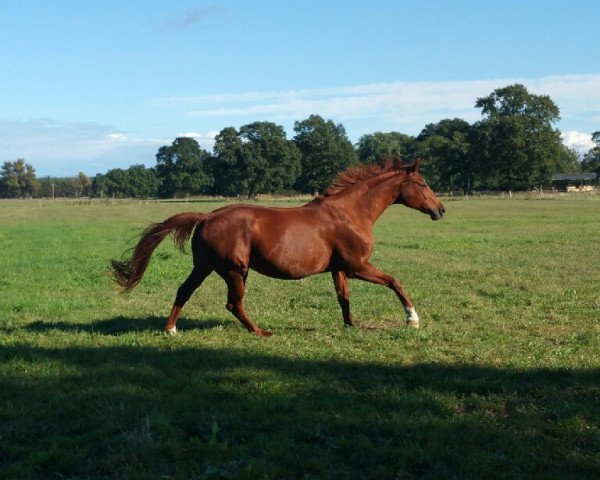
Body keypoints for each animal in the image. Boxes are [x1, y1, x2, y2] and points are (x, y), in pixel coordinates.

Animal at [110, 159, 442, 336]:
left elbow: (343, 298)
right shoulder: (357, 266)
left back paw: (171, 329)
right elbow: (394, 281)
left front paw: (351, 326)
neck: (349, 213)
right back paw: (260, 332)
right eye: (423, 184)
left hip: (204, 266)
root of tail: (206, 216)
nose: (441, 210)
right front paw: (412, 318)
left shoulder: (339, 269)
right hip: (235, 270)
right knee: (233, 304)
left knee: (184, 291)